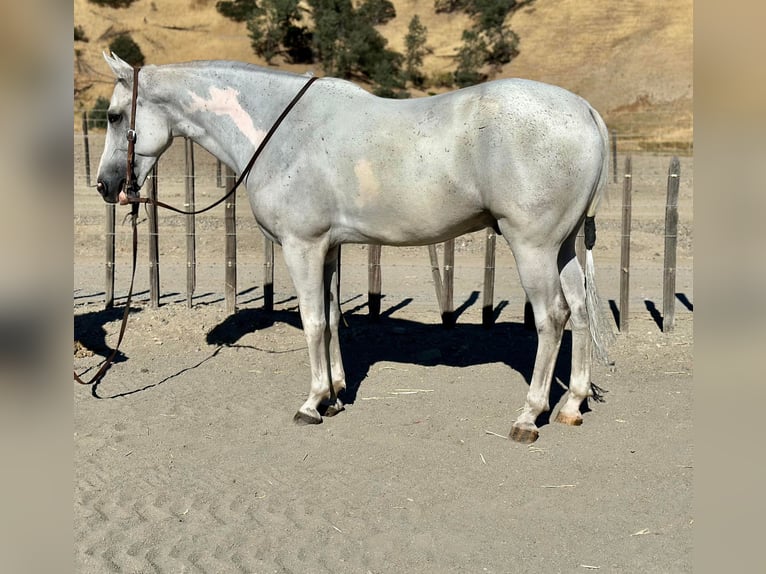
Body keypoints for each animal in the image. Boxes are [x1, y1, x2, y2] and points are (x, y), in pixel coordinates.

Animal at [94, 53, 612, 446]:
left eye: (114, 116)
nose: (105, 185)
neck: (282, 129)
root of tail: (584, 110)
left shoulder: (301, 247)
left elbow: (312, 322)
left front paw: (311, 403)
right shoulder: (328, 249)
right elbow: (331, 319)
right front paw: (336, 394)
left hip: (533, 248)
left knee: (552, 318)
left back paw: (528, 416)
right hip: (563, 248)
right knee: (580, 311)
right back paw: (571, 405)